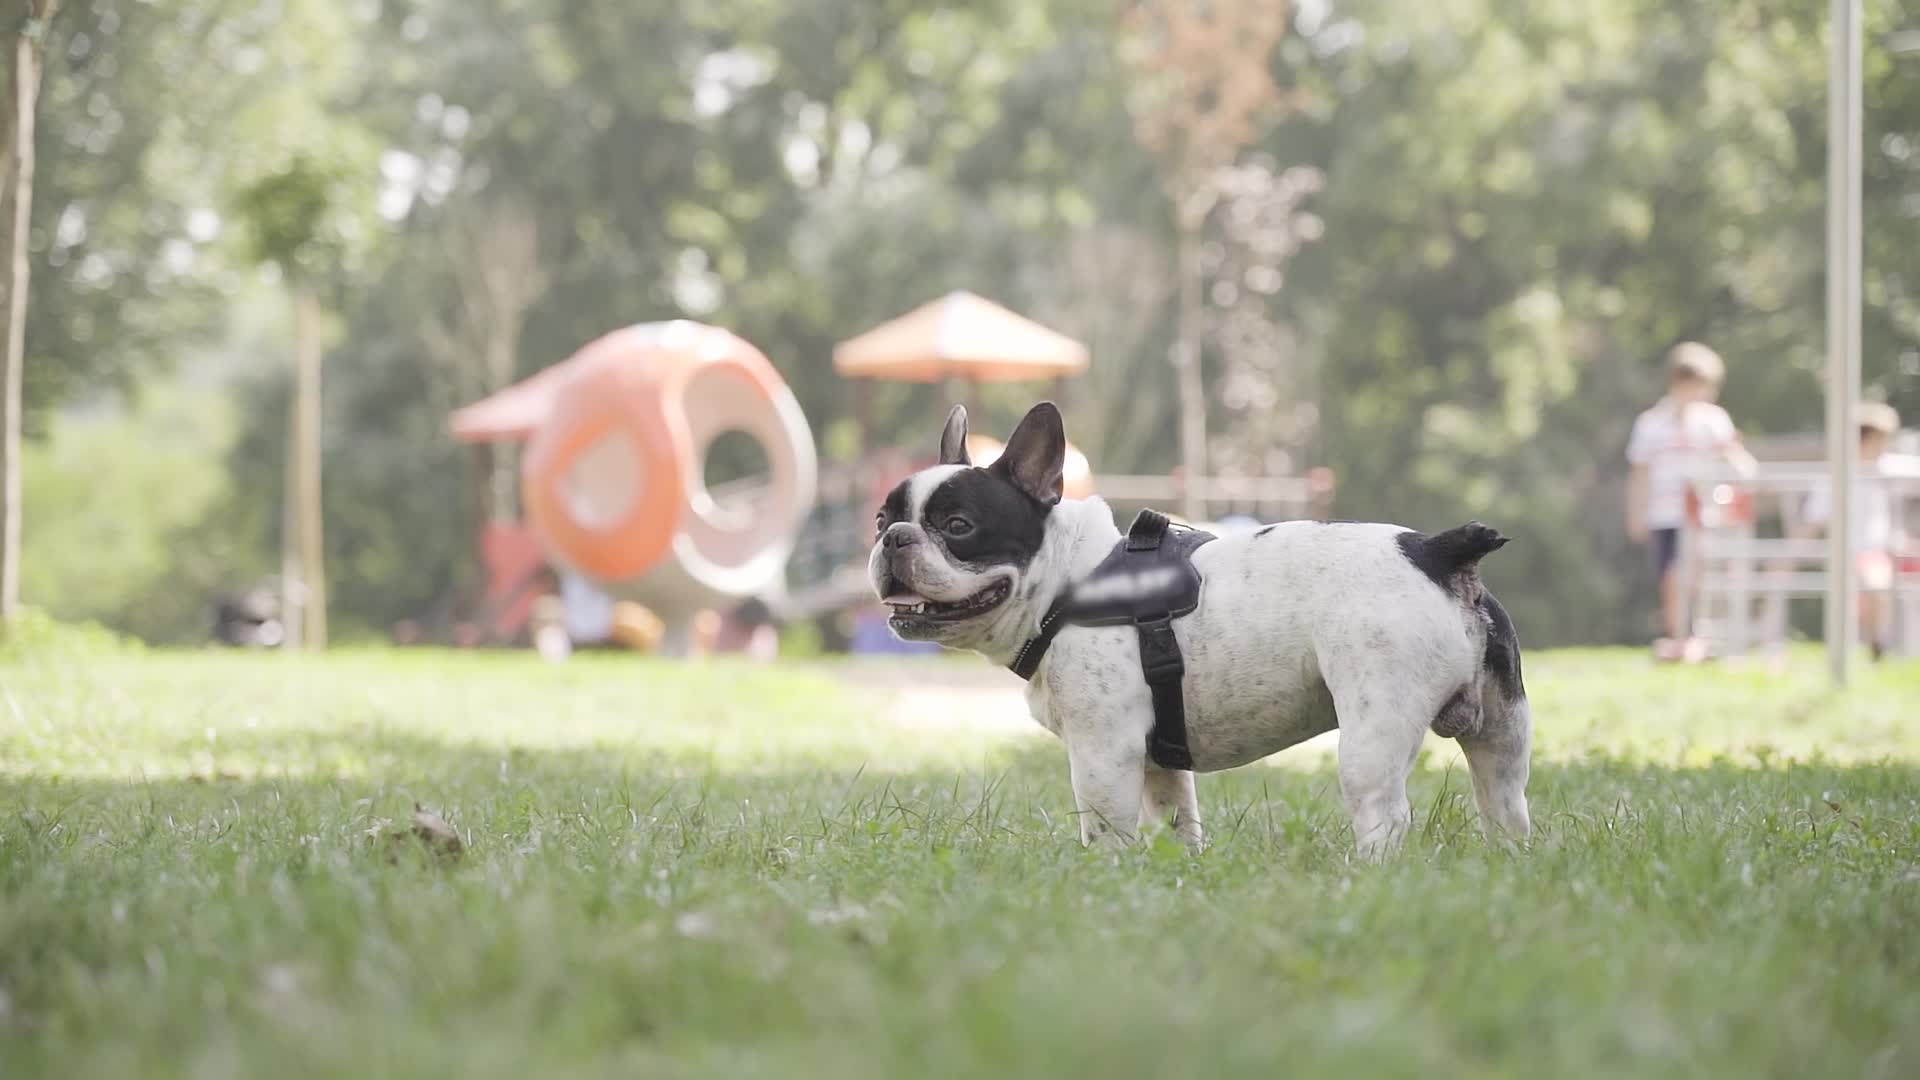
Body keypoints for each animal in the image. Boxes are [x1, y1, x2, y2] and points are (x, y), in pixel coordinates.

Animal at [871, 399, 1528, 853]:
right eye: (881, 518)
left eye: (958, 526)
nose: (893, 538)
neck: (1068, 580)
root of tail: (1436, 553)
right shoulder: (1160, 762)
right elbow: (1175, 824)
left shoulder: (1103, 750)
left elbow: (1106, 830)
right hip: (1503, 730)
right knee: (1505, 805)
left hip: (1373, 730)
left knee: (1385, 818)